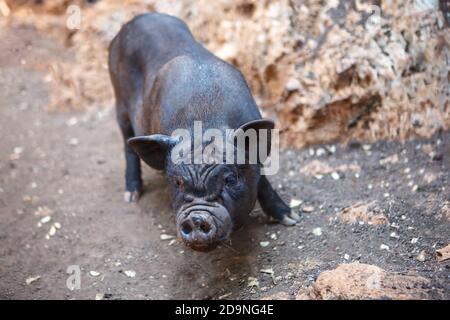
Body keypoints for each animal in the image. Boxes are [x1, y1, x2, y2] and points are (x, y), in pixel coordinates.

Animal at [108, 13, 298, 251]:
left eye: (230, 179)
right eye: (177, 183)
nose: (196, 218)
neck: (205, 121)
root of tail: (134, 20)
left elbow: (262, 180)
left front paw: (291, 219)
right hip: (119, 103)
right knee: (128, 146)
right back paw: (131, 196)